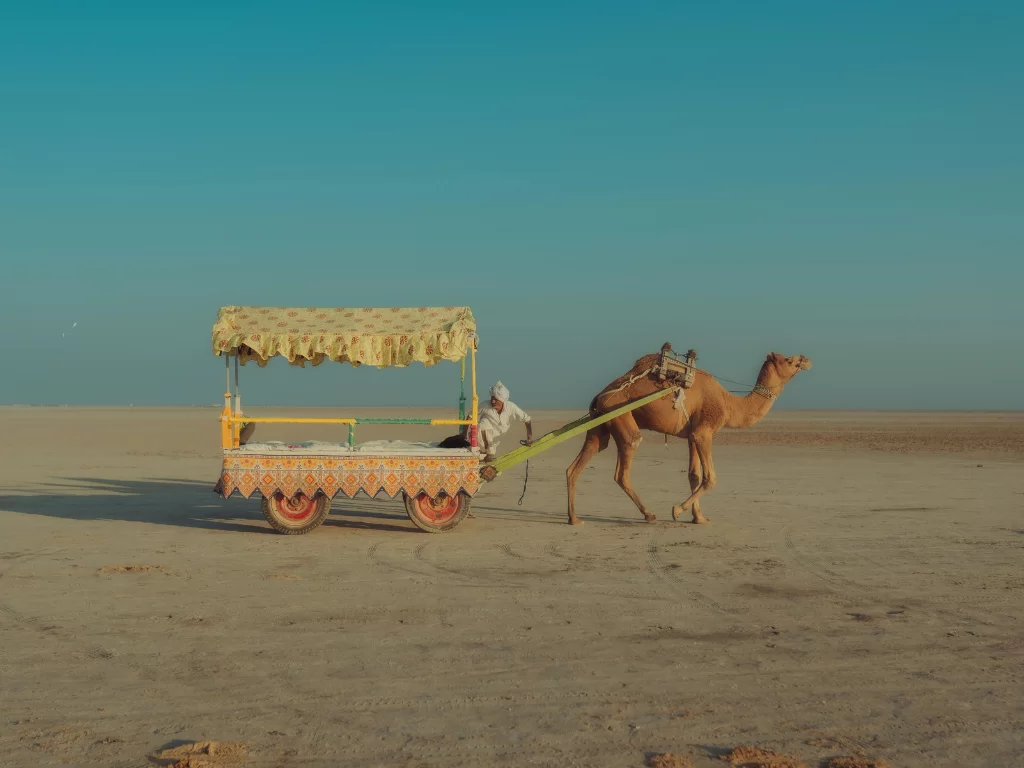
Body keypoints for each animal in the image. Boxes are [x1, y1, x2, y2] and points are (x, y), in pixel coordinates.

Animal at [566, 347, 812, 526]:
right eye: (789, 360)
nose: (806, 359)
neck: (729, 404)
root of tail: (599, 396)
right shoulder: (705, 431)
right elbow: (710, 478)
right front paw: (677, 510)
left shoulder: (692, 434)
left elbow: (694, 475)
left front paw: (699, 517)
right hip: (621, 417)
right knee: (623, 467)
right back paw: (649, 515)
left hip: (600, 426)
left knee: (578, 464)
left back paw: (574, 518)